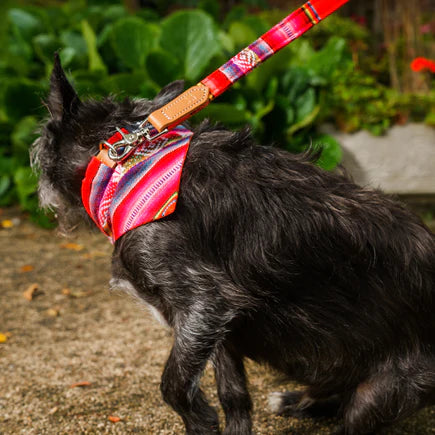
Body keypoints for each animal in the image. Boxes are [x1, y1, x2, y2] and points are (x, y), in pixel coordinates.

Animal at [33, 56, 435, 434]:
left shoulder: (203, 303)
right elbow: (234, 397)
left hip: (382, 391)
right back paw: (295, 401)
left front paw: (200, 421)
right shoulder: (220, 330)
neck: (126, 163)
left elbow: (173, 385)